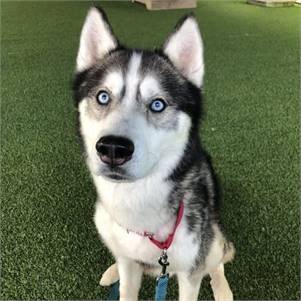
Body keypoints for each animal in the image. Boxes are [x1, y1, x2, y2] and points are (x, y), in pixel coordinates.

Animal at [72, 7, 234, 300]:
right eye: (103, 97)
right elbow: (126, 286)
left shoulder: (190, 273)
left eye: (157, 104)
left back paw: (223, 289)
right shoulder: (130, 263)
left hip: (214, 239)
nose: (113, 148)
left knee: (218, 262)